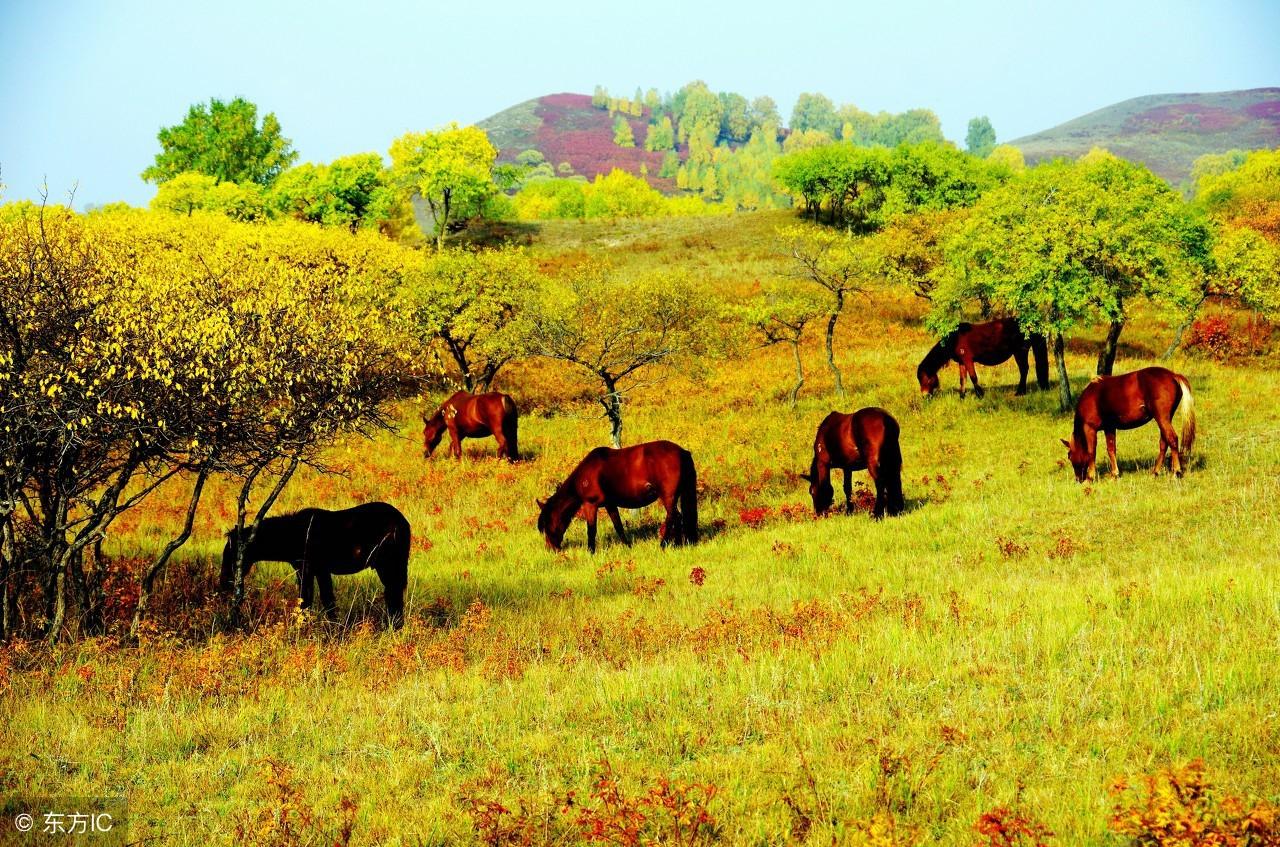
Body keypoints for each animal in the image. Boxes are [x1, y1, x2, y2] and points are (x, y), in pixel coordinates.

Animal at [218, 501, 409, 626]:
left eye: (231, 554)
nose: (224, 583)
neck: (296, 534)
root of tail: (403, 521)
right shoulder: (315, 571)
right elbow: (321, 600)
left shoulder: (311, 569)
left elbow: (312, 599)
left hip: (388, 565)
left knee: (393, 593)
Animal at [540, 440, 701, 555]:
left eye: (547, 524)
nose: (551, 549)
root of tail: (683, 452)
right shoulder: (610, 504)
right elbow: (618, 526)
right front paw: (628, 546)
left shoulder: (590, 504)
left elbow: (591, 529)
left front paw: (590, 552)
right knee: (677, 518)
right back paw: (678, 544)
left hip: (668, 497)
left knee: (673, 517)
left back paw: (664, 545)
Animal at [921, 318, 1049, 399]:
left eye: (924, 379)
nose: (924, 396)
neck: (955, 340)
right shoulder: (962, 362)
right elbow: (963, 379)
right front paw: (962, 397)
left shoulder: (968, 360)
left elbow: (973, 377)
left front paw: (980, 395)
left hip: (1020, 352)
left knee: (1023, 370)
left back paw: (1020, 392)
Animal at [1054, 365, 1192, 483]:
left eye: (1070, 456)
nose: (1078, 480)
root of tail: (1173, 375)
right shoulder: (1109, 427)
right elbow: (1111, 449)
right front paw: (1115, 474)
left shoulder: (1090, 429)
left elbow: (1091, 452)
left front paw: (1090, 477)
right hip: (1164, 419)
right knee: (1164, 443)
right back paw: (1155, 472)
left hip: (1162, 418)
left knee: (1172, 439)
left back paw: (1176, 472)